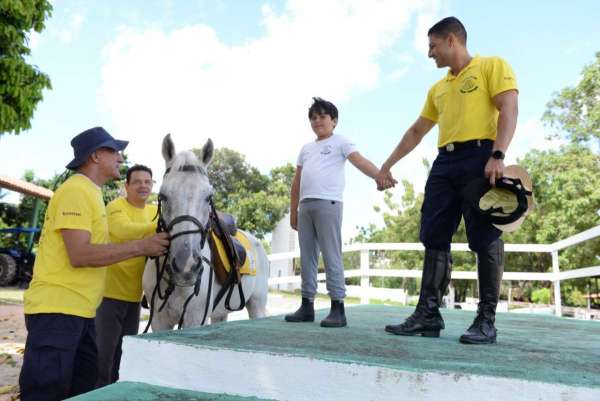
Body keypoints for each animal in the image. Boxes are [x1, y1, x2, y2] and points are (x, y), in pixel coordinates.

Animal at [142, 133, 268, 330]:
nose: (186, 266)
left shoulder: (195, 318)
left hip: (257, 305)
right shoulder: (158, 321)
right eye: (162, 196)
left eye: (209, 197)